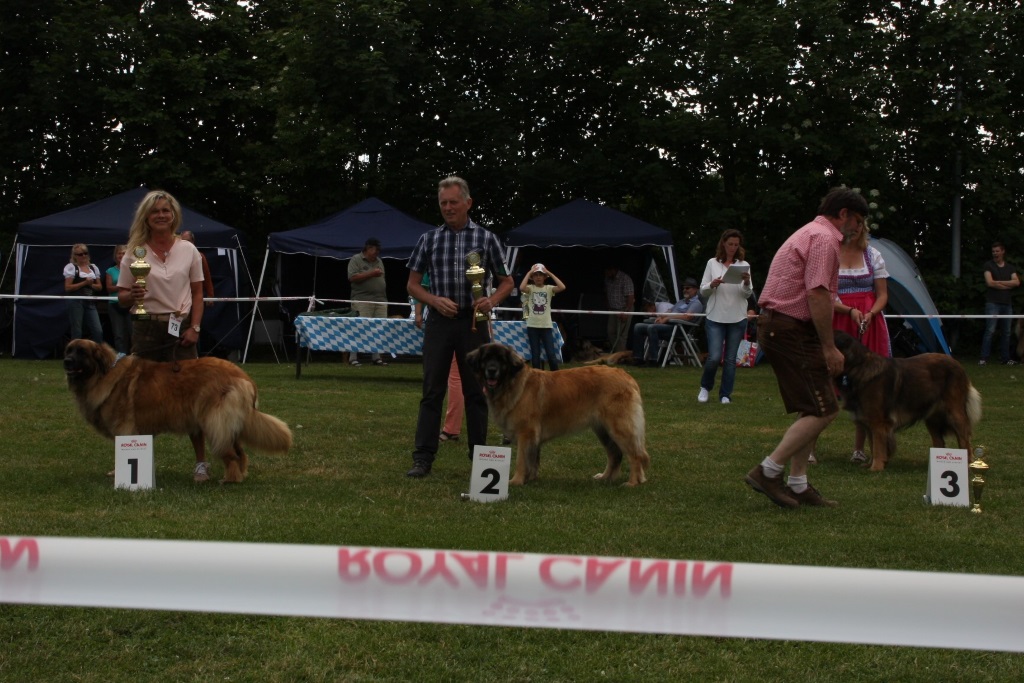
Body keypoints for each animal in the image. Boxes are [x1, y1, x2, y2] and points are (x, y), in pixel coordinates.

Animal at [65, 339, 292, 481]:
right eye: (69, 350)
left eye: (81, 352)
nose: (66, 361)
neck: (103, 374)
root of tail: (244, 377)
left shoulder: (125, 428)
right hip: (228, 423)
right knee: (240, 452)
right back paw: (240, 475)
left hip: (215, 422)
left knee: (231, 454)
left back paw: (230, 479)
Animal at [466, 342, 647, 485]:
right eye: (486, 359)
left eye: (501, 360)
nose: (491, 370)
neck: (511, 384)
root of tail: (627, 376)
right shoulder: (533, 435)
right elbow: (533, 459)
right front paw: (530, 479)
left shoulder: (526, 432)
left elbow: (522, 460)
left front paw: (516, 481)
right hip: (602, 429)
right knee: (615, 454)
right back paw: (605, 477)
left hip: (619, 427)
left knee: (635, 455)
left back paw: (633, 483)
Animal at [831, 331, 983, 471]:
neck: (857, 367)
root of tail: (957, 364)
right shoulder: (868, 421)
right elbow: (872, 444)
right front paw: (871, 464)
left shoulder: (878, 422)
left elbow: (878, 446)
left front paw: (876, 467)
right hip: (932, 418)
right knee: (939, 442)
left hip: (955, 414)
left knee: (964, 441)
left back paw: (967, 464)